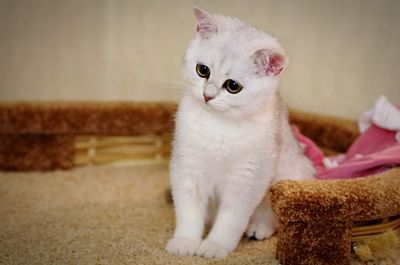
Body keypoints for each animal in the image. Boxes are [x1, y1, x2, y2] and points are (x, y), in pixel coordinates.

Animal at [164, 7, 314, 256]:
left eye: (233, 86)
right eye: (202, 70)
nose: (208, 95)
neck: (218, 126)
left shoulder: (247, 179)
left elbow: (231, 219)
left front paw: (214, 246)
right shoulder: (187, 168)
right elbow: (188, 210)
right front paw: (185, 241)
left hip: (292, 174)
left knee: (271, 217)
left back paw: (259, 227)